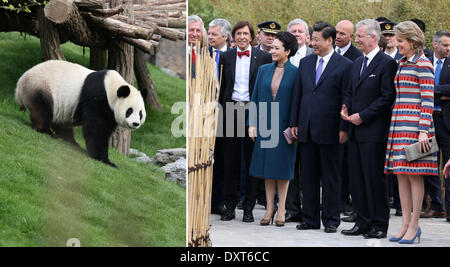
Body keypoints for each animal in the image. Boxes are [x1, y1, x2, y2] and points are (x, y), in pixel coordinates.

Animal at [14, 60, 146, 168]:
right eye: (129, 111)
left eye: (140, 113)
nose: (135, 123)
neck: (112, 87)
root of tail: (19, 87)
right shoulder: (98, 97)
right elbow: (96, 130)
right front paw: (104, 159)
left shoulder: (110, 111)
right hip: (40, 86)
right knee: (42, 109)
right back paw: (46, 131)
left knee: (62, 122)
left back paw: (71, 141)